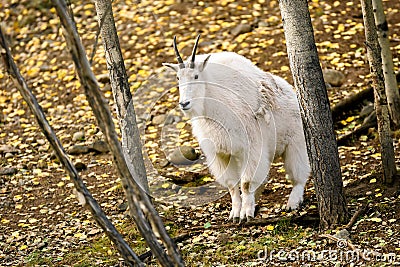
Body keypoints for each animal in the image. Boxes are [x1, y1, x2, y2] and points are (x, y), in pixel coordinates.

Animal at [162, 35, 310, 223]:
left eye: (196, 76)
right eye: (177, 78)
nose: (184, 103)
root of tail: (291, 91)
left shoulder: (251, 146)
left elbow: (245, 183)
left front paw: (245, 214)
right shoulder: (220, 153)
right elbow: (232, 184)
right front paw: (235, 213)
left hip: (295, 142)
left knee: (299, 173)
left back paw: (293, 202)